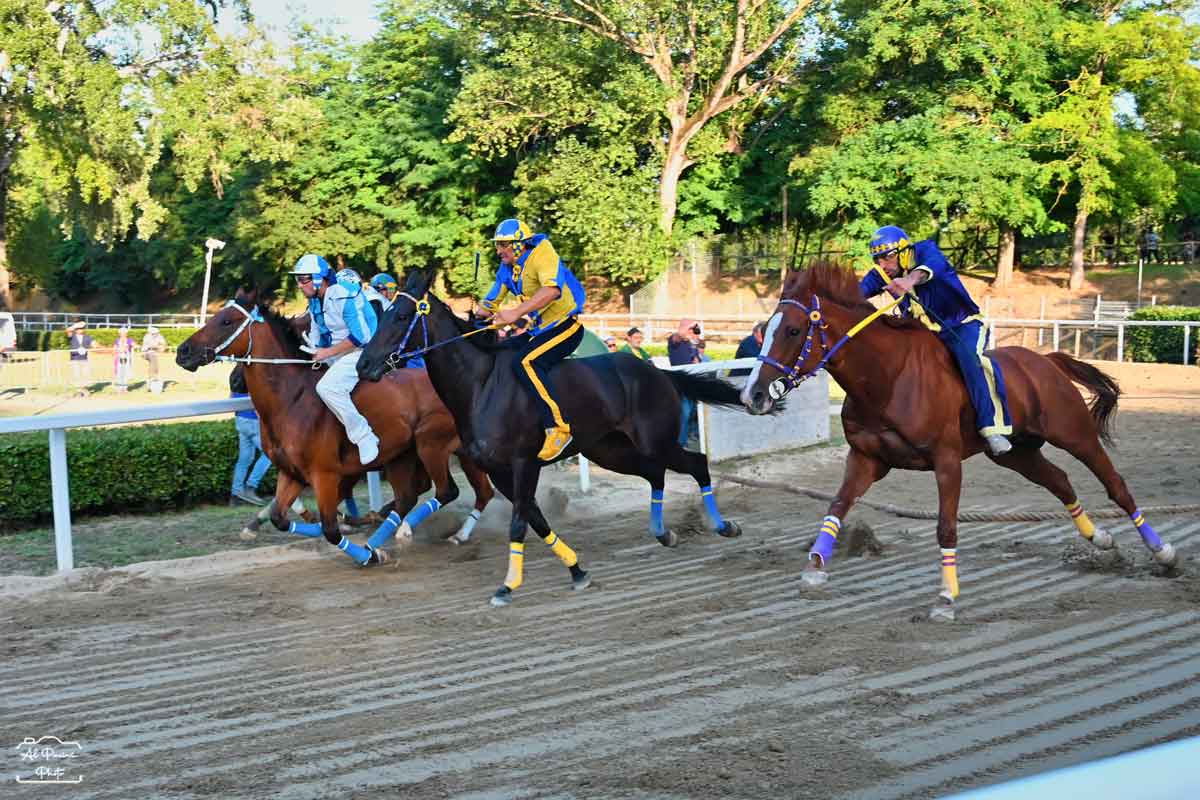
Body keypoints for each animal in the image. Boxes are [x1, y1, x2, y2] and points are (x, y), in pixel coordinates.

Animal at [175, 286, 494, 563]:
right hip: (404, 455)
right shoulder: (291, 473)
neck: (291, 399)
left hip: (431, 445)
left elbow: (330, 528)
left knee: (447, 491)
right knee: (416, 497)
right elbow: (280, 518)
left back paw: (403, 533)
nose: (183, 351)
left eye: (226, 321)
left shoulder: (325, 475)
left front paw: (365, 553)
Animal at [355, 268, 748, 606]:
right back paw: (664, 532)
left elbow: (518, 523)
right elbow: (535, 519)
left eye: (401, 316)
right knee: (655, 473)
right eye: (383, 312)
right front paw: (577, 571)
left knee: (697, 463)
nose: (363, 364)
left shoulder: (524, 463)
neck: (481, 386)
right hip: (610, 450)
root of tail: (658, 371)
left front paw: (507, 586)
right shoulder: (500, 470)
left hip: (655, 440)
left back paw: (723, 525)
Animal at [739, 261, 1180, 618]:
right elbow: (836, 507)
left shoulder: (947, 460)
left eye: (793, 330)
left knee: (1116, 485)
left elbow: (946, 528)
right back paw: (1100, 538)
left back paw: (1164, 552)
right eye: (764, 329)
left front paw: (946, 598)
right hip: (1017, 453)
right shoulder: (867, 458)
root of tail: (1046, 361)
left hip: (1075, 433)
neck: (889, 377)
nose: (753, 394)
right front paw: (815, 566)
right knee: (1060, 481)